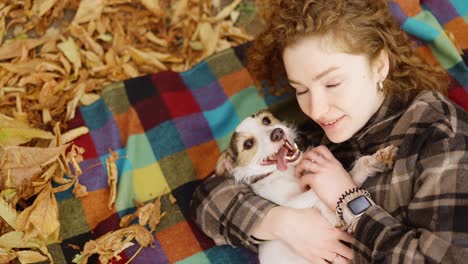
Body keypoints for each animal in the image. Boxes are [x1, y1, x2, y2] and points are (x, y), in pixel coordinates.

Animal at [216, 110, 398, 264]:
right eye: (248, 144)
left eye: (266, 120)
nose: (277, 133)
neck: (288, 172)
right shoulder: (289, 203)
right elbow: (315, 192)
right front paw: (335, 215)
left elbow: (354, 173)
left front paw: (378, 160)